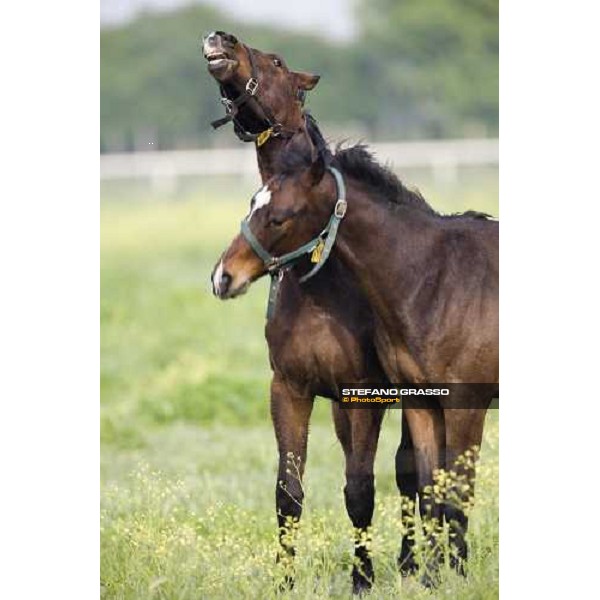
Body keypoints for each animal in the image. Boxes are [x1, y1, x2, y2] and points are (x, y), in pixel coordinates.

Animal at [202, 31, 418, 592]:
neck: (320, 282)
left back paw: (413, 563)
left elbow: (361, 489)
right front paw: (283, 582)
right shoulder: (290, 388)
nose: (220, 40)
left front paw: (362, 580)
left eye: (277, 61)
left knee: (411, 469)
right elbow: (288, 491)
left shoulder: (361, 397)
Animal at [213, 142, 500, 584]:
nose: (223, 277)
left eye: (279, 217)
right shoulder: (415, 401)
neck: (436, 279)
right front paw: (433, 580)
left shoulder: (462, 404)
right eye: (252, 204)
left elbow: (450, 494)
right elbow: (427, 490)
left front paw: (453, 577)